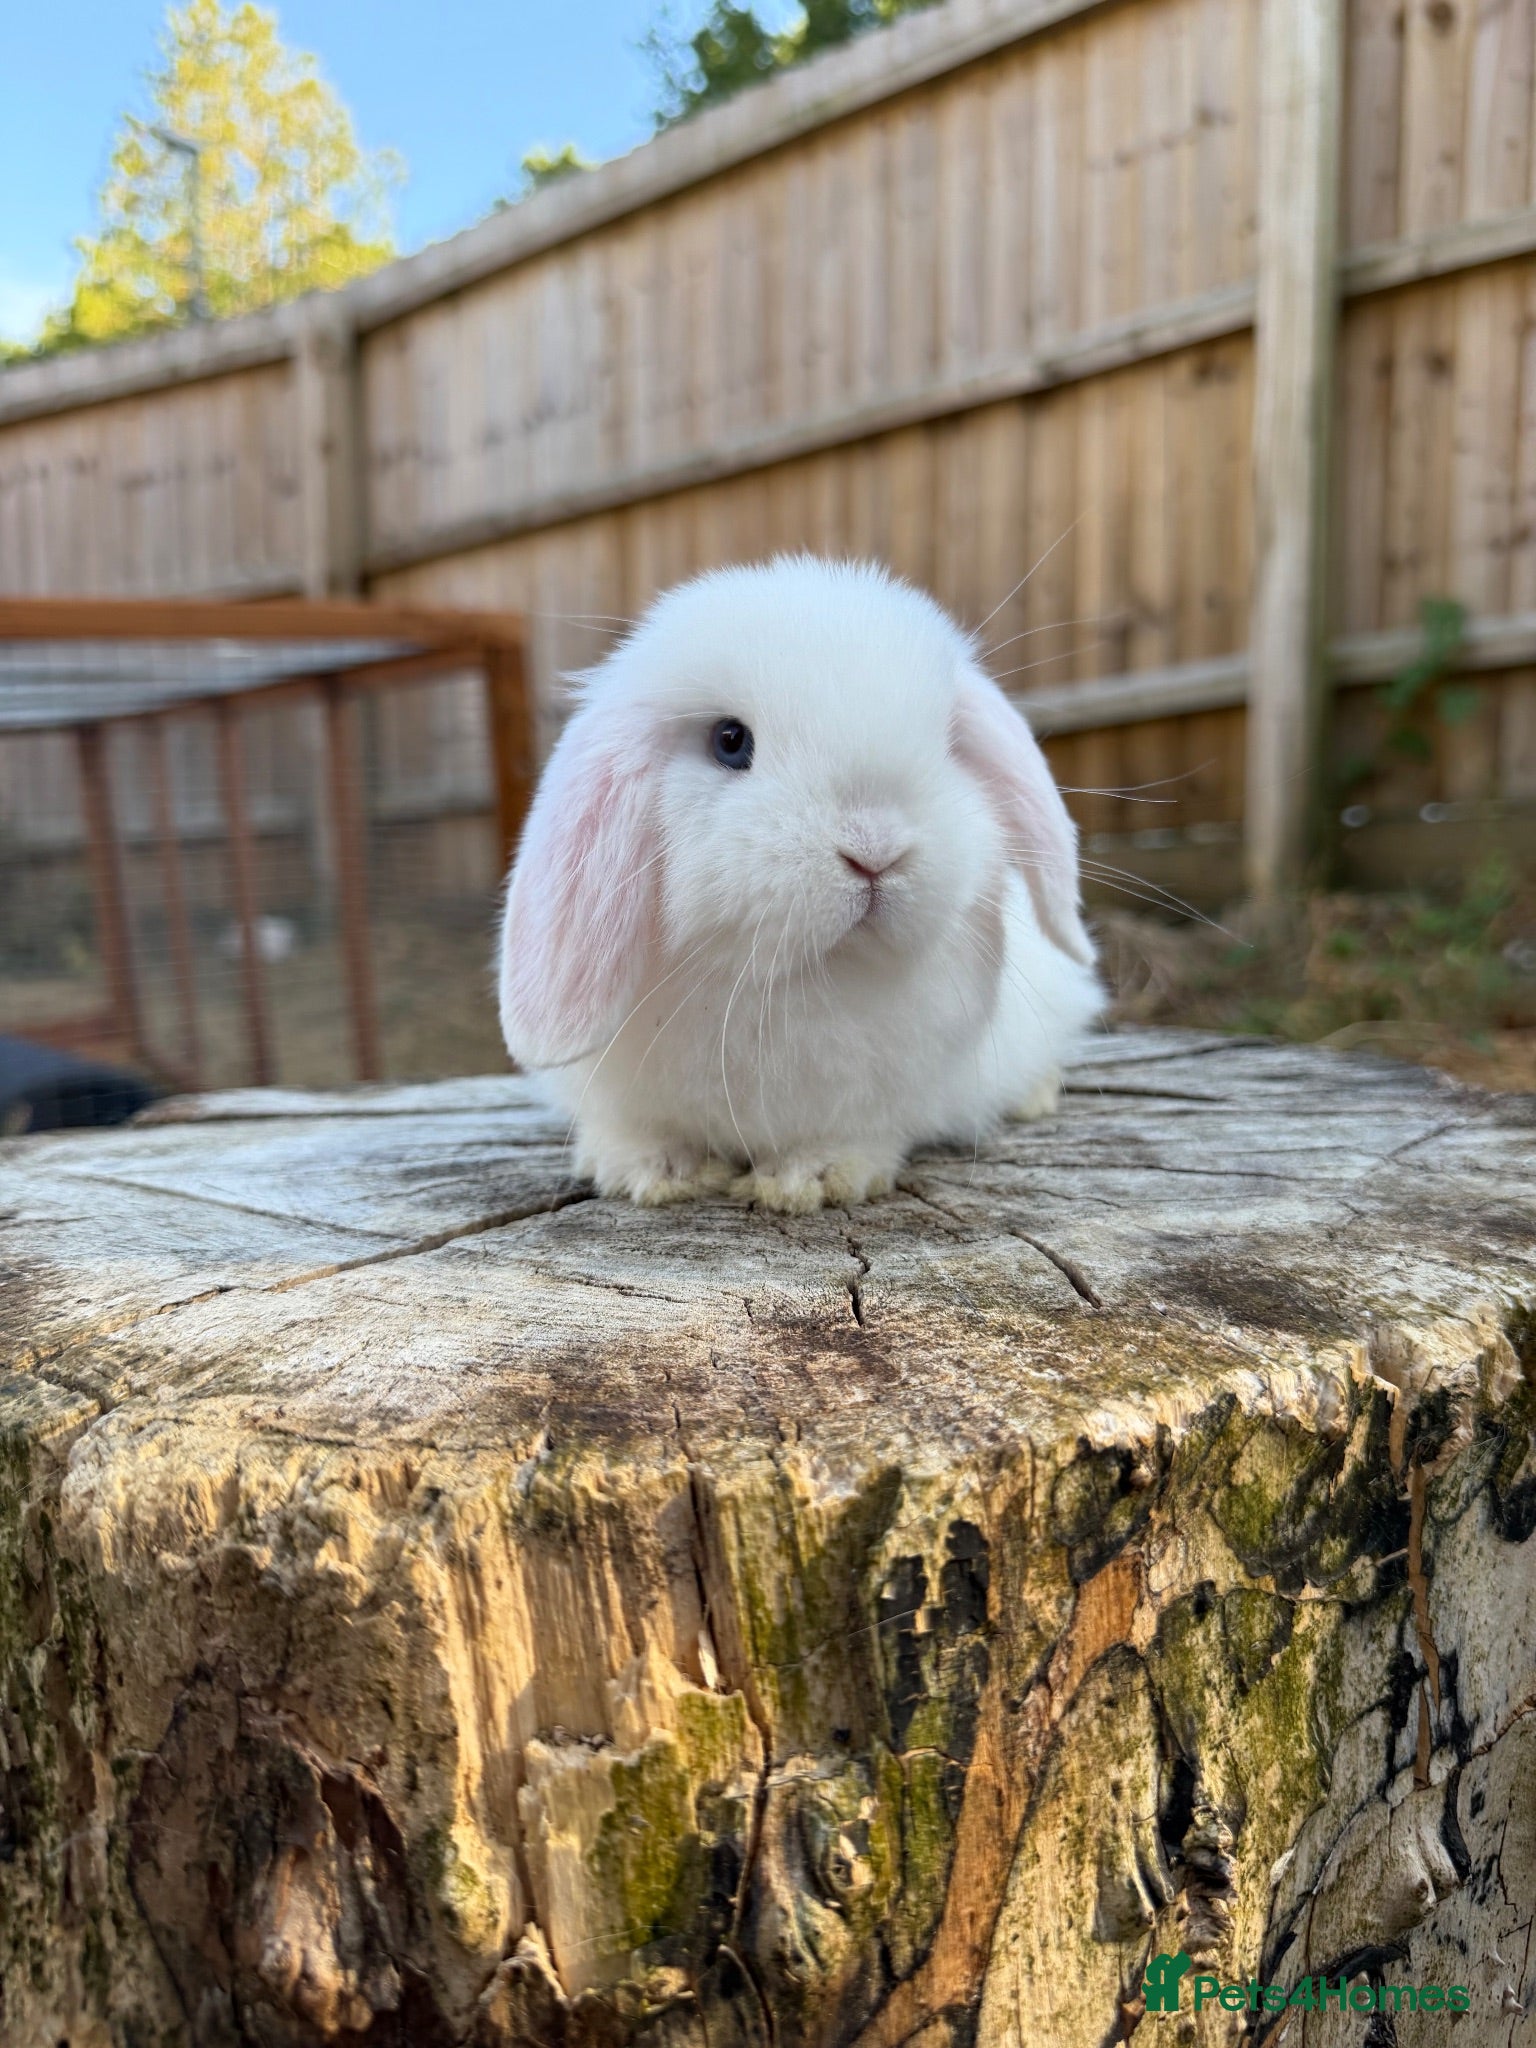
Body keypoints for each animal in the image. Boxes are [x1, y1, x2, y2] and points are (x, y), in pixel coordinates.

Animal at [498, 555, 1102, 1211]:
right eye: (730, 741)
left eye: (948, 744)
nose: (875, 850)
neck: (798, 982)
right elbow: (637, 1131)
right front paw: (653, 1172)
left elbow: (851, 1135)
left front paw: (804, 1181)